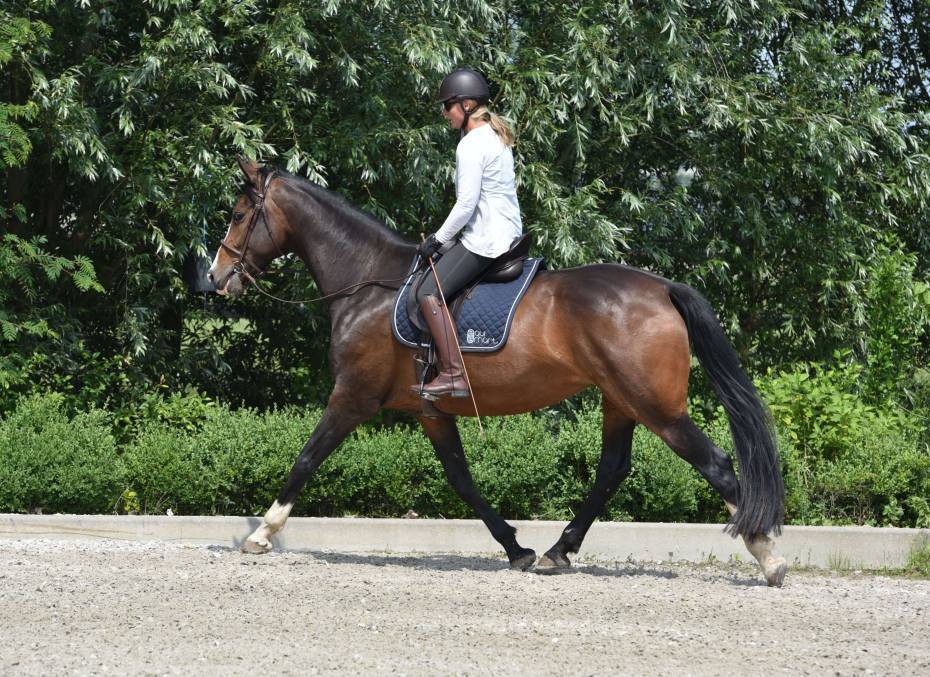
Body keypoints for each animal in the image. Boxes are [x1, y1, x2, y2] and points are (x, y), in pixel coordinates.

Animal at [208, 157, 788, 587]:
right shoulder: (431, 409)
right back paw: (559, 550)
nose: (216, 277)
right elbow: (462, 480)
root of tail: (662, 287)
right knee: (612, 470)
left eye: (238, 214)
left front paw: (261, 533)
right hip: (620, 400)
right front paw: (516, 548)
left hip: (656, 406)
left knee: (715, 464)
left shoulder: (353, 395)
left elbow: (307, 457)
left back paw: (768, 556)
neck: (369, 283)